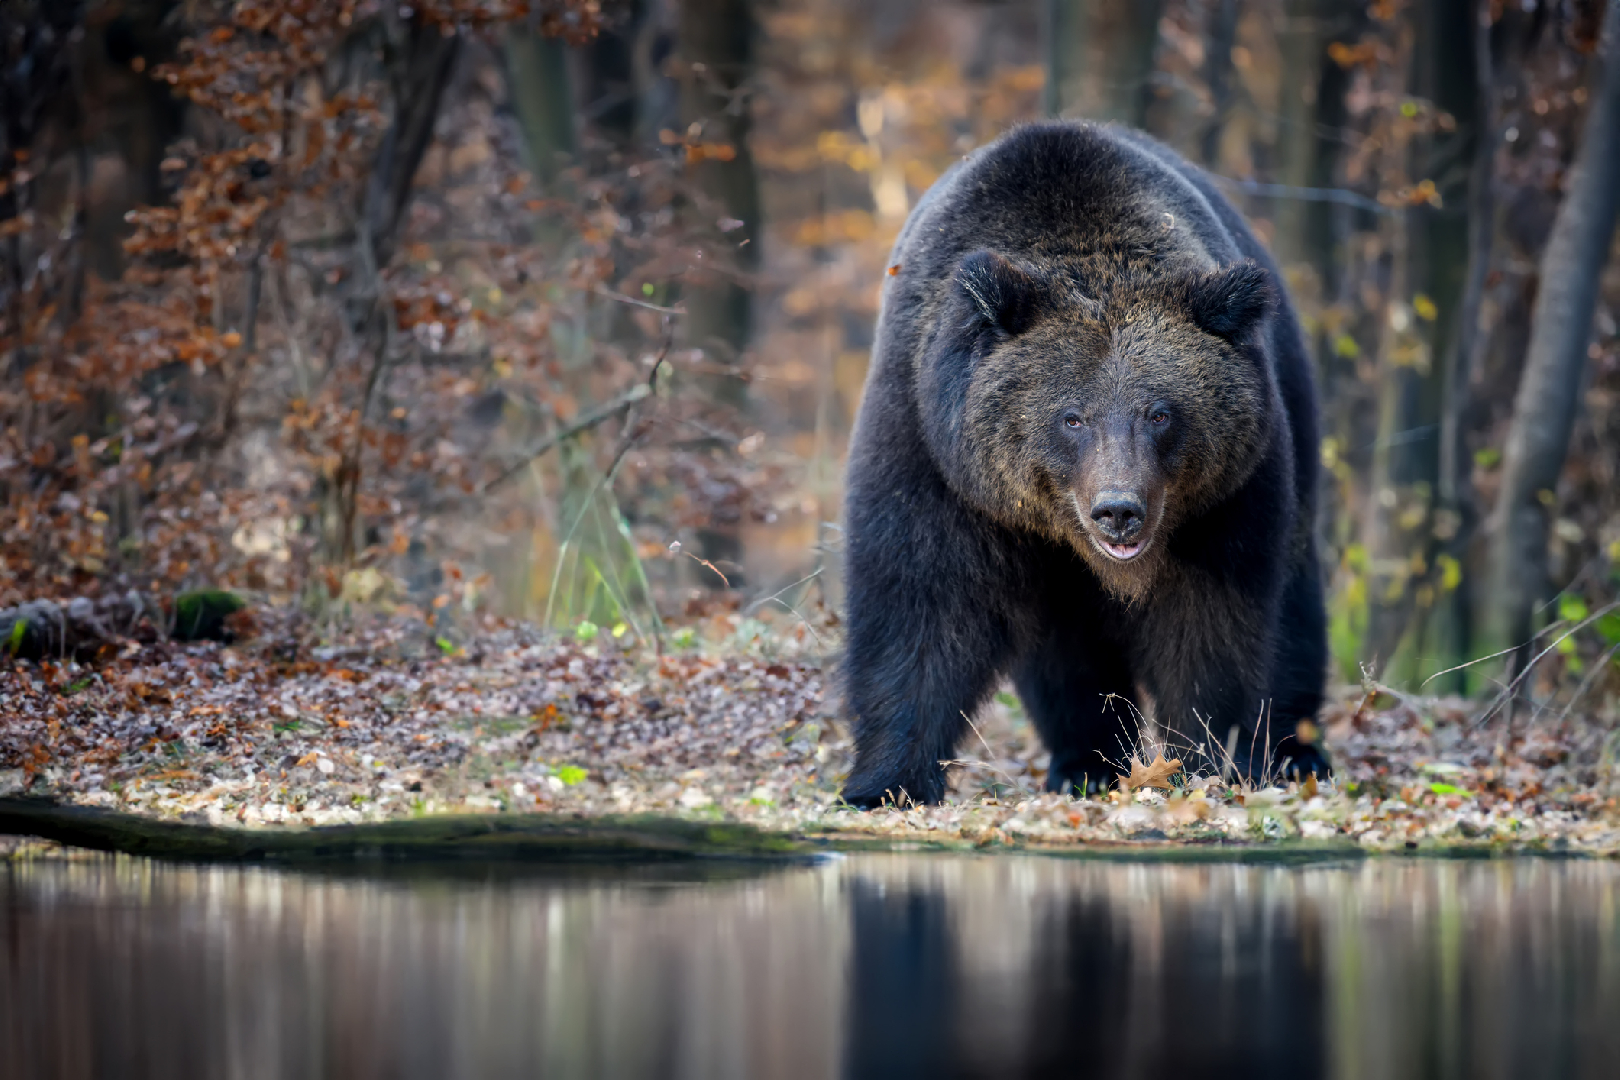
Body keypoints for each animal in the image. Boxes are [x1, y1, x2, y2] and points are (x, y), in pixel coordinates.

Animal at [842, 122, 1321, 806]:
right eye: (1073, 417)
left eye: (1160, 412)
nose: (1119, 510)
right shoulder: (934, 448)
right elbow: (920, 600)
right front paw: (886, 782)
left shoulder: (1224, 500)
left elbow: (1211, 623)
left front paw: (1208, 762)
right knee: (1063, 652)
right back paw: (1084, 763)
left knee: (1298, 602)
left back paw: (1297, 750)